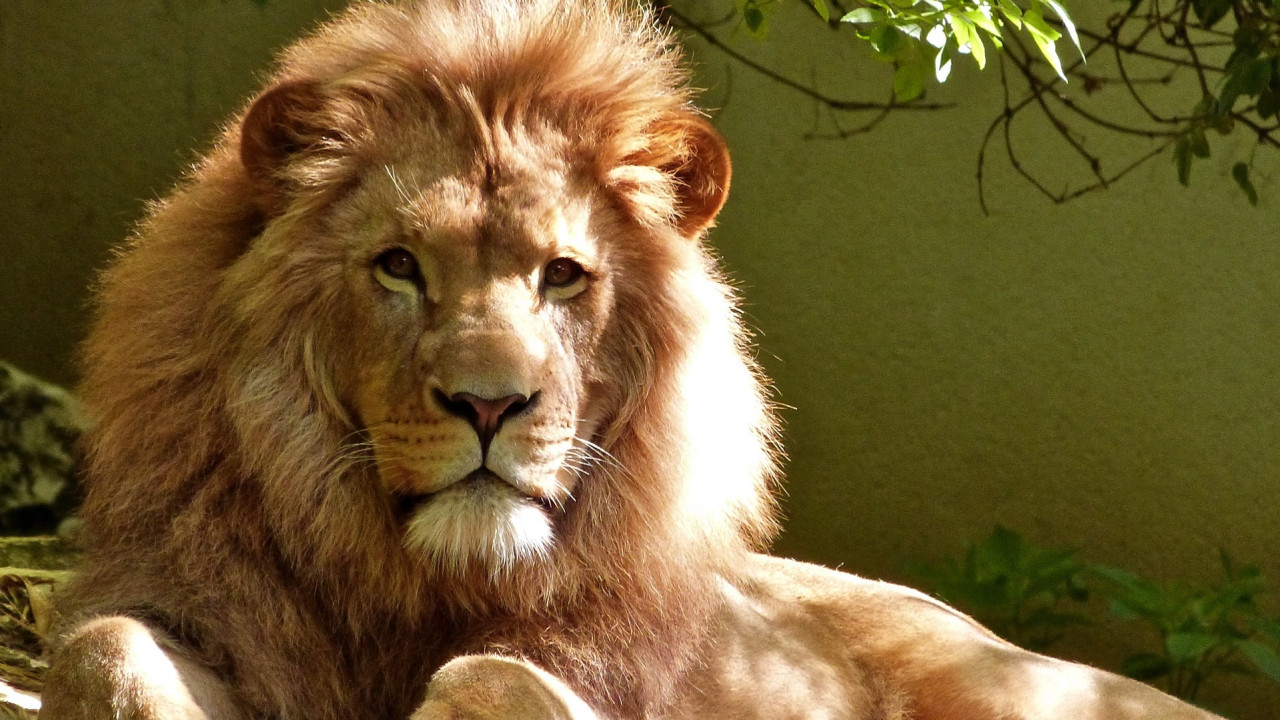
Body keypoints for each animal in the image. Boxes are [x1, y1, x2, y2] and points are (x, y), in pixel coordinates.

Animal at [40, 1, 1220, 719]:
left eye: (563, 276)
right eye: (399, 266)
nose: (490, 405)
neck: (419, 589)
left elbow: (492, 677)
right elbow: (105, 646)